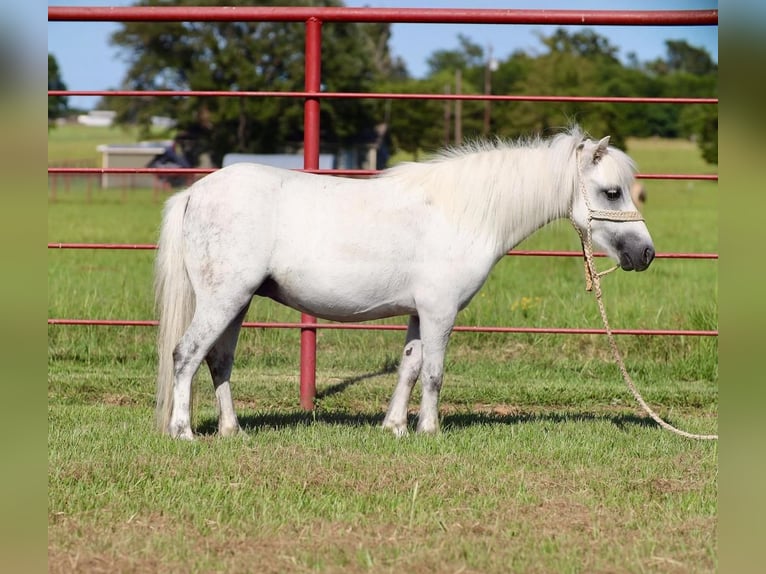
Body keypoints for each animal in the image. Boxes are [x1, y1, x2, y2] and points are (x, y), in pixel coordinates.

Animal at [154, 127, 656, 440]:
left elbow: (409, 367)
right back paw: (182, 432)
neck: (462, 212)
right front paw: (429, 430)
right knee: (186, 355)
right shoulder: (440, 310)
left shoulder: (419, 312)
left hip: (236, 304)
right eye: (612, 192)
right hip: (221, 300)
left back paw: (231, 430)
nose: (645, 254)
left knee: (218, 361)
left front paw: (394, 427)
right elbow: (433, 372)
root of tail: (194, 192)